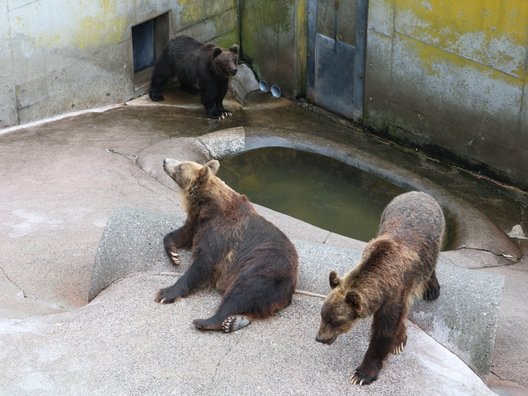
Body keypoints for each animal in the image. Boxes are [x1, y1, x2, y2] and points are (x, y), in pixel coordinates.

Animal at [155, 157, 300, 332]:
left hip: (263, 269)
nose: (164, 160)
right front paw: (174, 255)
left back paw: (206, 321)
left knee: (242, 292)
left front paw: (165, 293)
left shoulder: (221, 234)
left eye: (181, 166)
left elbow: (204, 263)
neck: (205, 206)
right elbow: (183, 234)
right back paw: (236, 321)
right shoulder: (199, 224)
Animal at [316, 190, 444, 386]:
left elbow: (383, 332)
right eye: (323, 315)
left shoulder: (394, 295)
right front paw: (400, 339)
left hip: (437, 237)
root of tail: (418, 192)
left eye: (334, 320)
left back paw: (432, 289)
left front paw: (362, 374)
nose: (320, 338)